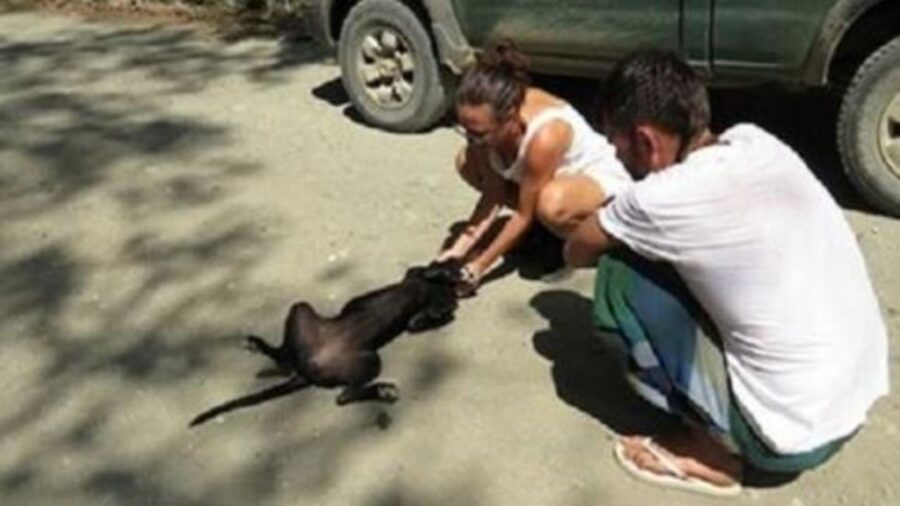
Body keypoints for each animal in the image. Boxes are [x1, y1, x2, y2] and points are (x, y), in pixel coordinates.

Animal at [186, 260, 460, 426]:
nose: (454, 296)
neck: (429, 292)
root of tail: (309, 368)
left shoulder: (419, 303)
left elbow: (420, 316)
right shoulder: (413, 275)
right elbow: (426, 273)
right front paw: (448, 274)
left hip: (301, 313)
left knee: (288, 360)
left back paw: (257, 345)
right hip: (371, 359)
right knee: (344, 396)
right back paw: (384, 390)